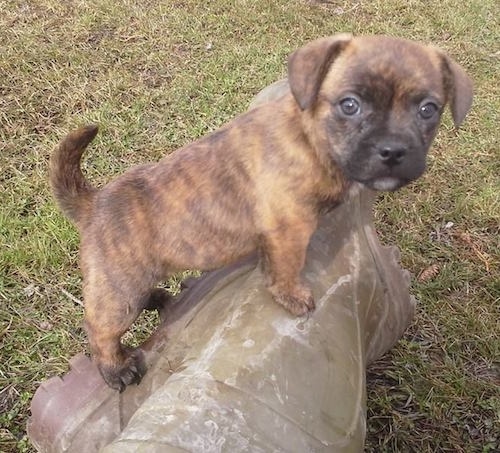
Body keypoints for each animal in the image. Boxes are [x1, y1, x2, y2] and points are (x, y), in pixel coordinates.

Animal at [49, 34, 472, 388]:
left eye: (428, 109)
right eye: (349, 105)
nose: (393, 151)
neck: (310, 138)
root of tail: (94, 202)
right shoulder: (289, 229)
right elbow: (286, 268)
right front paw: (291, 296)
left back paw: (160, 300)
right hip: (120, 292)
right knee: (100, 327)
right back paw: (115, 368)